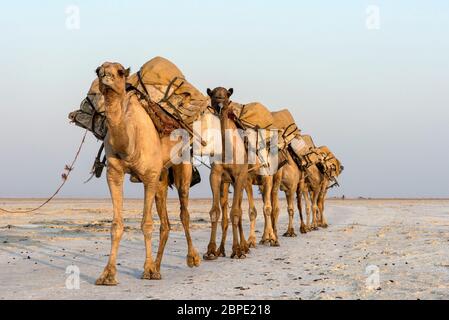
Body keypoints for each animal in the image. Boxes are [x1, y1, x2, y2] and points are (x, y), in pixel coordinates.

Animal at [94, 62, 200, 284]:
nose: (105, 76)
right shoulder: (114, 175)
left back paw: (192, 258)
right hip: (162, 177)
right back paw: (158, 267)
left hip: (182, 164)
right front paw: (108, 274)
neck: (129, 143)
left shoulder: (149, 177)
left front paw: (148, 270)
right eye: (97, 70)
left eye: (120, 72)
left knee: (184, 212)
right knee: (166, 223)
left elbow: (147, 224)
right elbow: (116, 225)